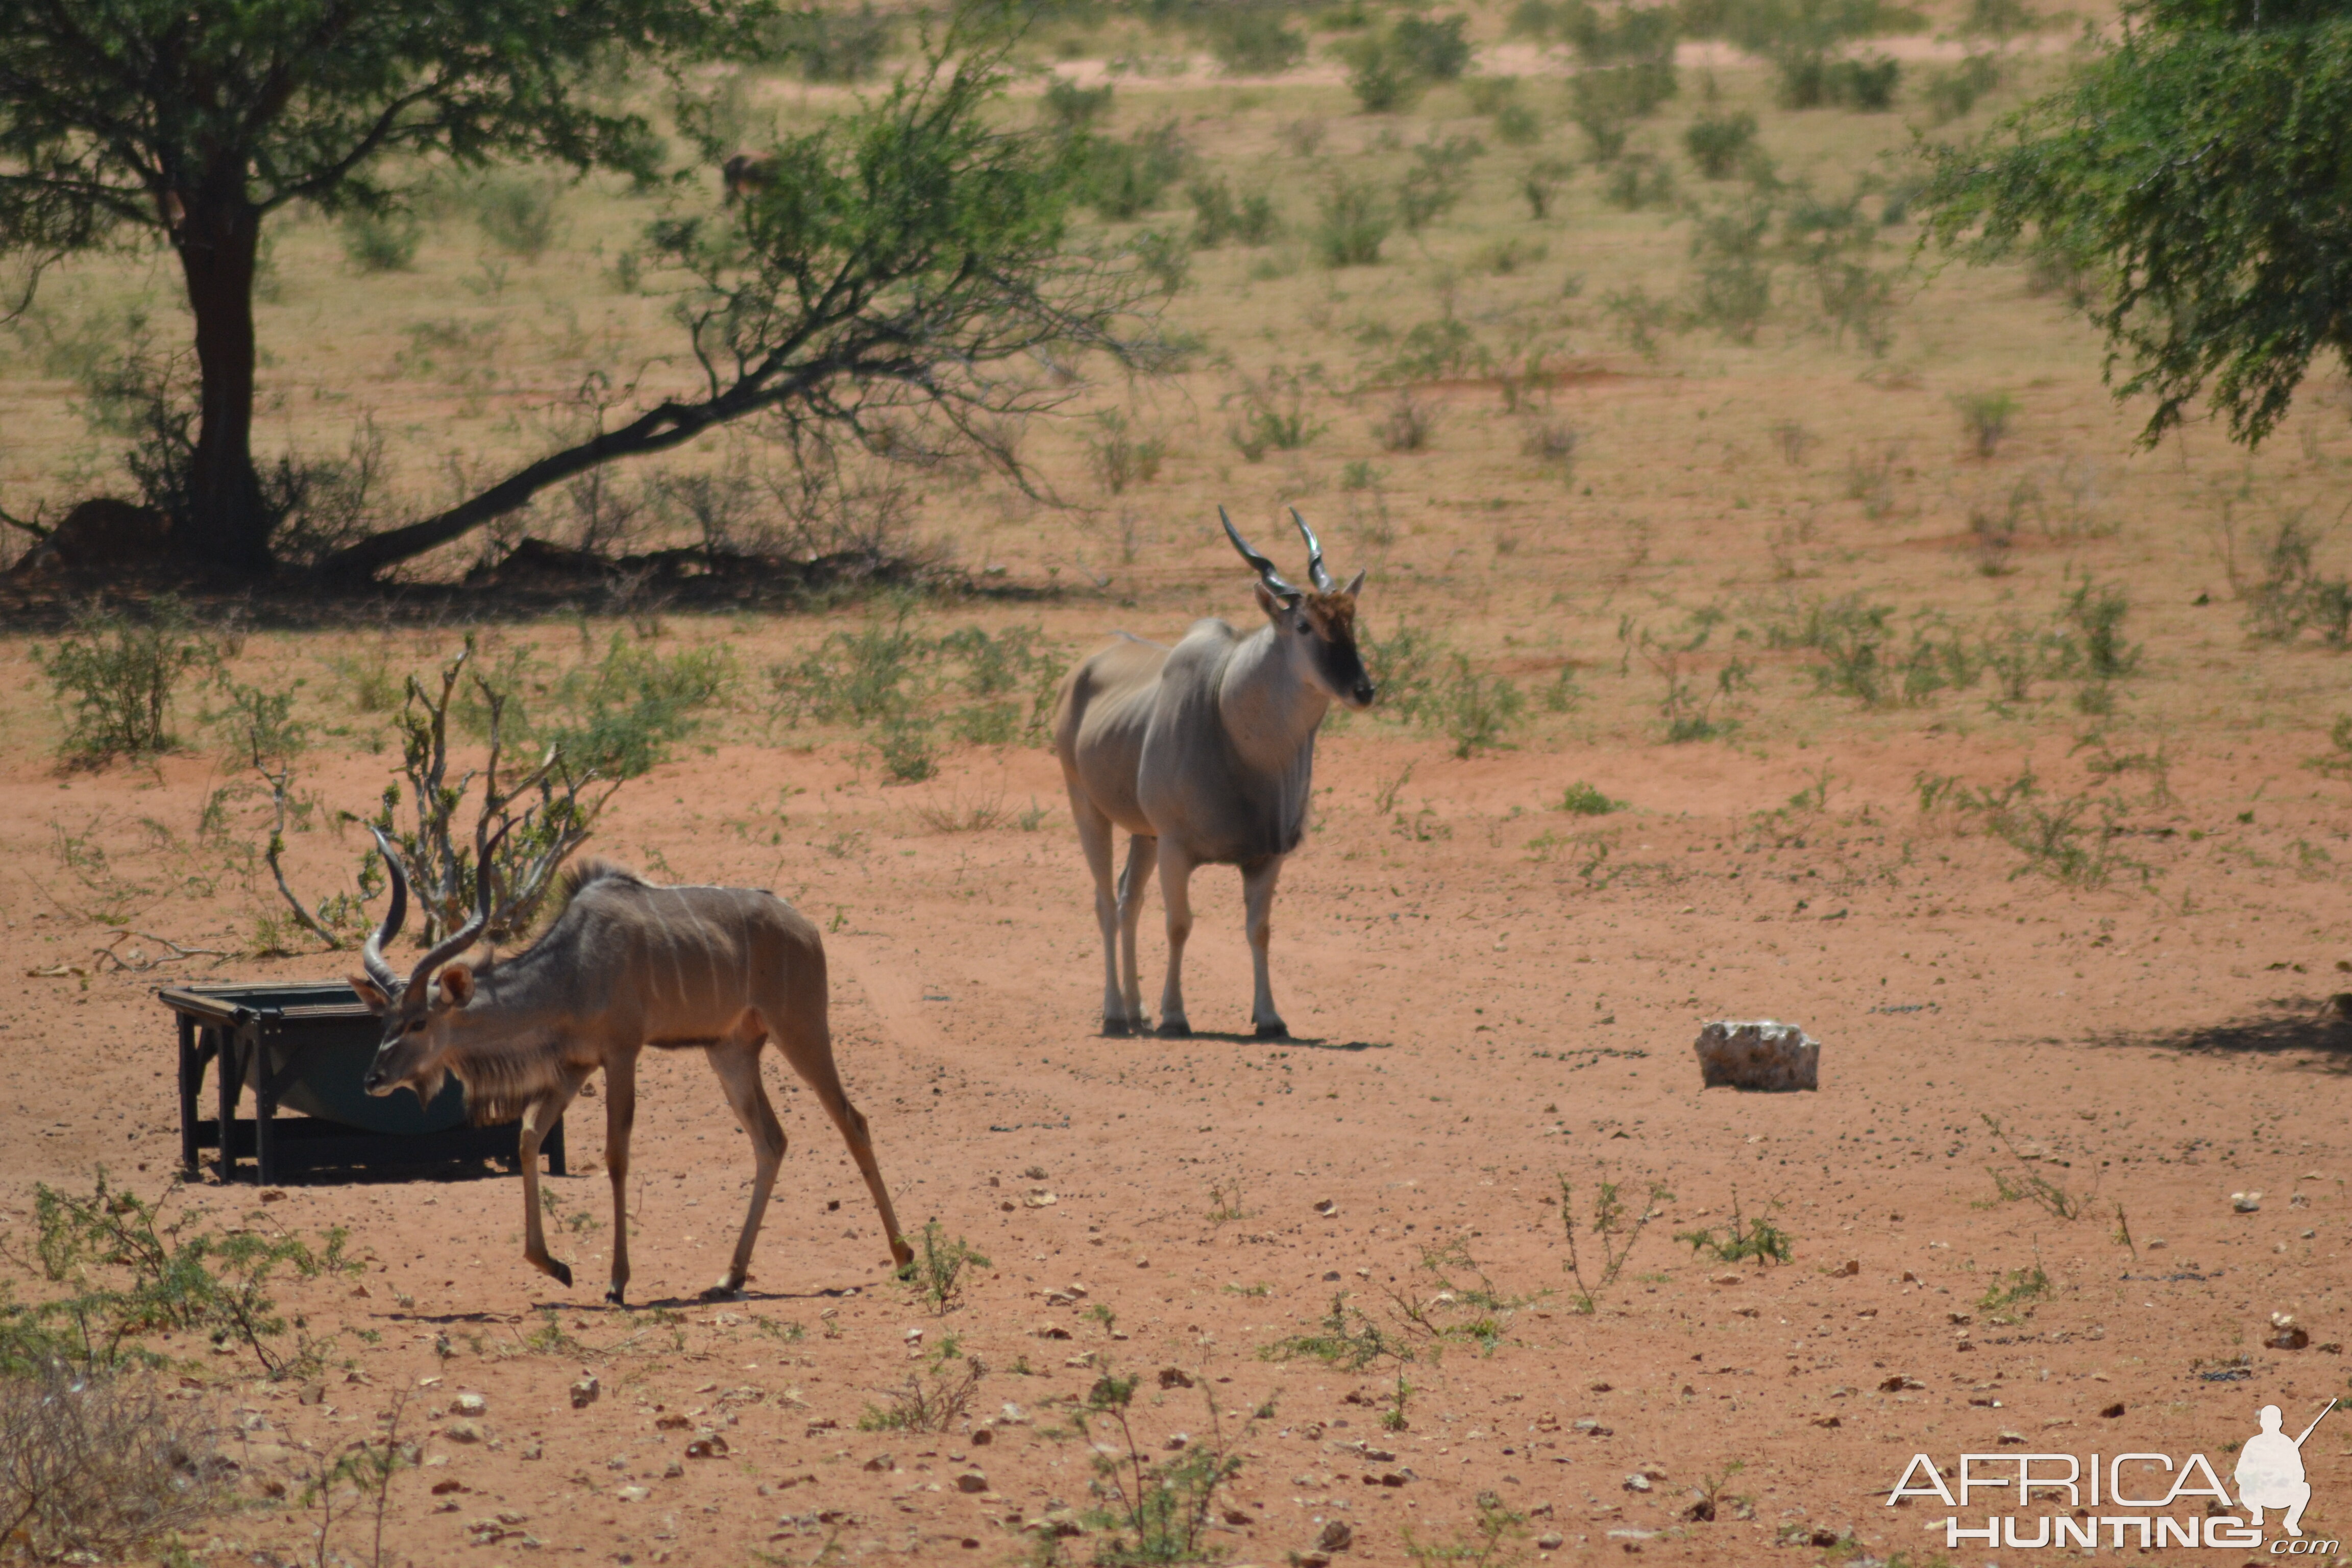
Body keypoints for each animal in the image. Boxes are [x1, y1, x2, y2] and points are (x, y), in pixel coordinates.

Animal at [353, 832, 912, 1297]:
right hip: (729, 1051)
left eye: (420, 1022)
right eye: (385, 1019)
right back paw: (730, 1277)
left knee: (852, 1121)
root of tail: (807, 927)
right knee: (771, 1140)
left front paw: (618, 1282)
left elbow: (616, 1155)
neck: (571, 967)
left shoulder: (621, 1055)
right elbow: (529, 1136)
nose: (373, 1079)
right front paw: (554, 1266)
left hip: (801, 1030)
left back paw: (903, 1256)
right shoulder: (574, 1068)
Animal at [1054, 510, 1374, 1034]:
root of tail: (1081, 670)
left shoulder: (1267, 857)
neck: (1226, 705)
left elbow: (1259, 929)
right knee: (1105, 904)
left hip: (1144, 835)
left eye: (1351, 619)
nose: (1364, 690)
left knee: (1127, 900)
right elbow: (1179, 925)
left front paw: (1269, 1017)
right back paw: (1116, 1012)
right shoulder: (1177, 849)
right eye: (1304, 625)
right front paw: (1175, 1015)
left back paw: (1137, 1008)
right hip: (1088, 809)